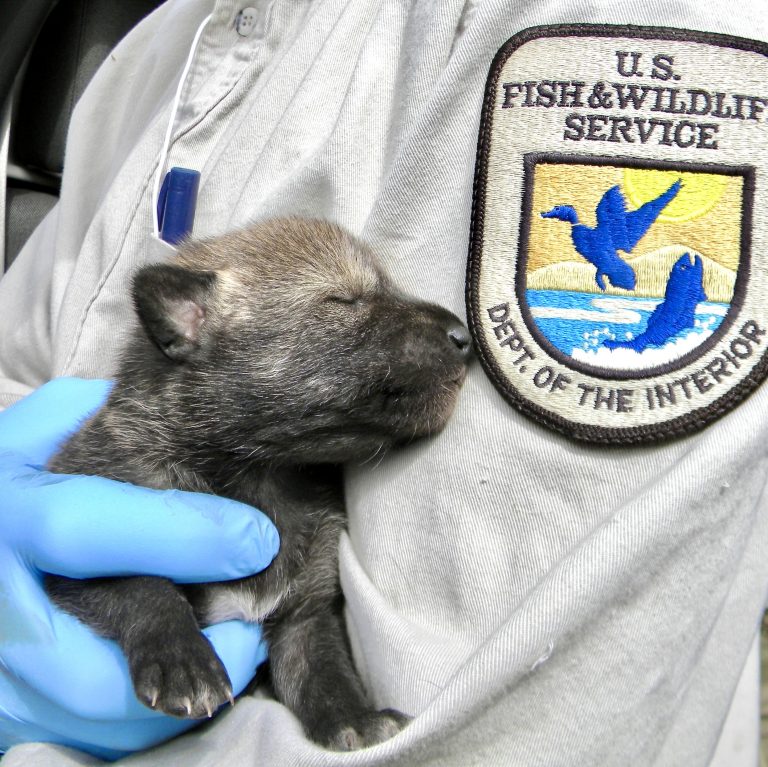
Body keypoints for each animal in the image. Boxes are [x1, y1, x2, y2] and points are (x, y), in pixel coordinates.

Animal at [45, 218, 470, 750]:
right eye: (345, 300)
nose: (463, 335)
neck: (264, 474)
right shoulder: (72, 561)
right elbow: (139, 585)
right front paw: (183, 662)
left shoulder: (306, 613)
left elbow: (323, 668)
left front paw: (354, 718)